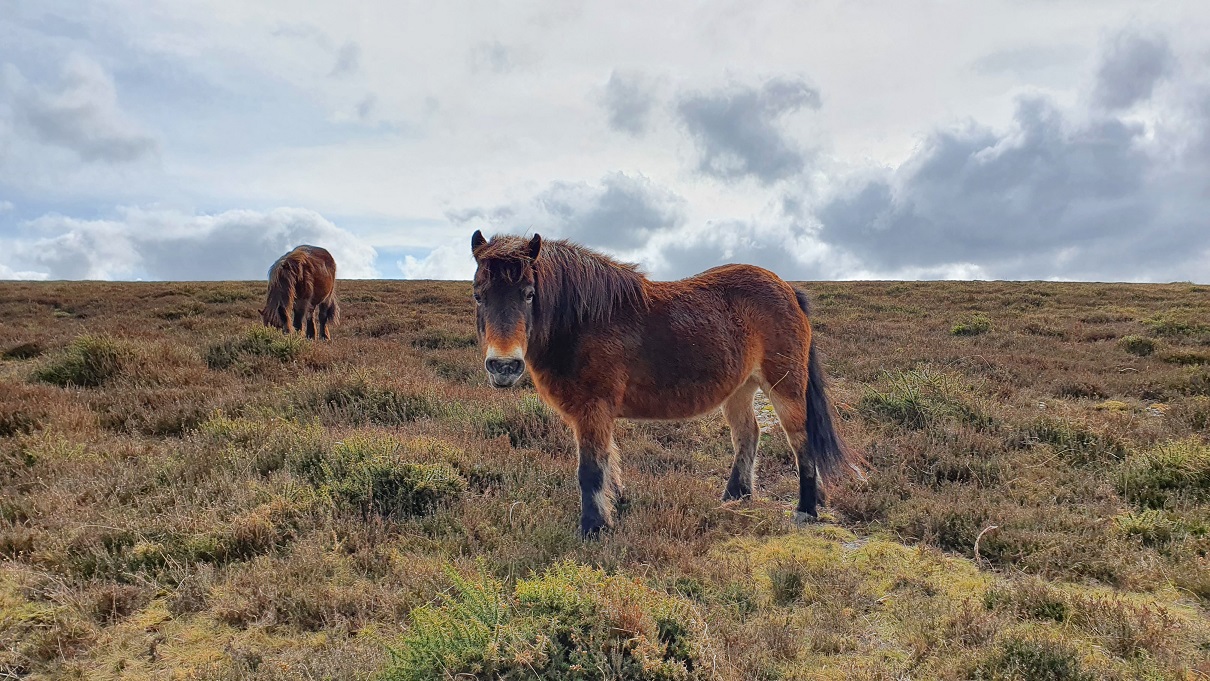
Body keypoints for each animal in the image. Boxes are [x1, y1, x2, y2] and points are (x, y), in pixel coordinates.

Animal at [469, 231, 861, 539]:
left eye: (529, 293)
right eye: (478, 294)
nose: (504, 366)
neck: (584, 322)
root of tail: (788, 289)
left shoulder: (593, 409)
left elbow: (591, 469)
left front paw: (594, 528)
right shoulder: (595, 415)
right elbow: (609, 460)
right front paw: (617, 507)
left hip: (785, 385)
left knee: (800, 439)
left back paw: (806, 509)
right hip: (740, 389)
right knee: (748, 433)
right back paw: (735, 496)